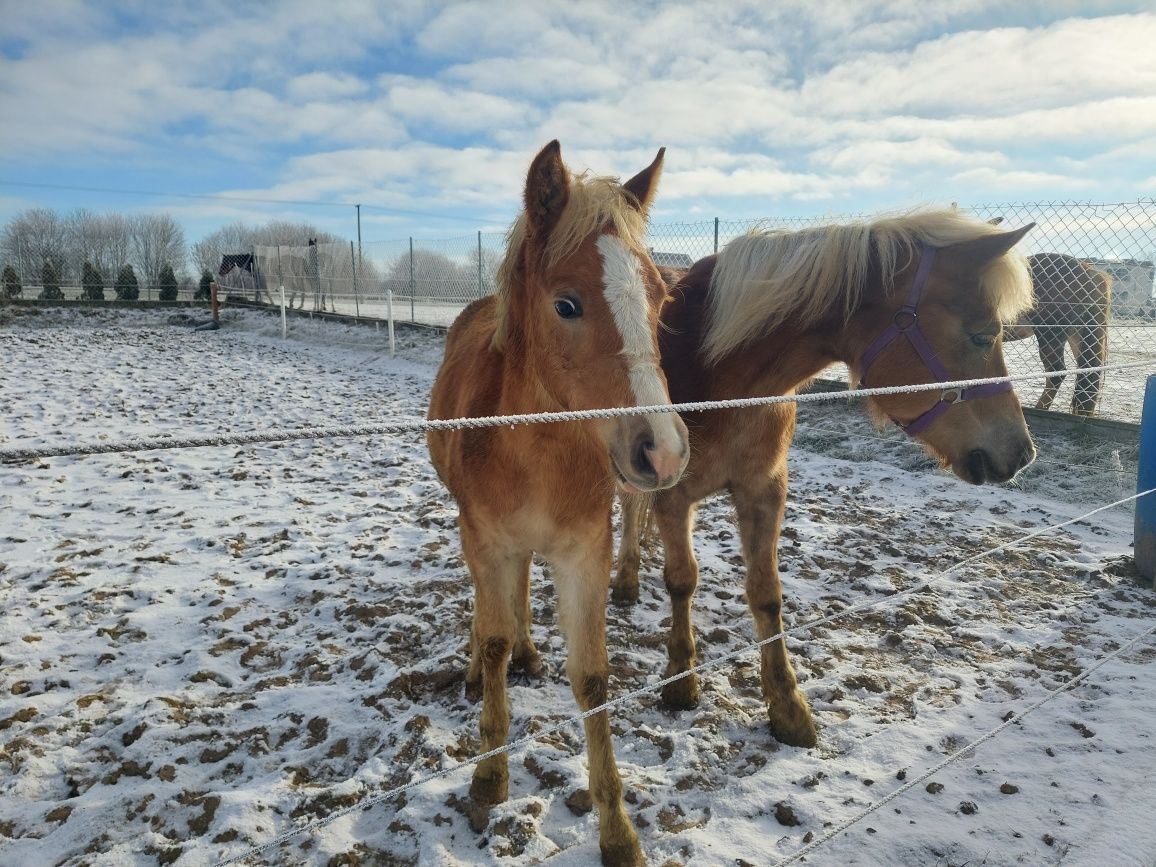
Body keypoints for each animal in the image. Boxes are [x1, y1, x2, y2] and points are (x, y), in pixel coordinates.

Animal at [430, 139, 688, 864]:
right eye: (567, 305)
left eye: (660, 298)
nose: (662, 450)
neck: (536, 448)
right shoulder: (485, 540)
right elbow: (491, 640)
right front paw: (489, 779)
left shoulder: (584, 554)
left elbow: (593, 679)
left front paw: (618, 830)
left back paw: (528, 650)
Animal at [614, 206, 1040, 749]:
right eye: (984, 334)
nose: (1021, 453)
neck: (719, 374)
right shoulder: (674, 496)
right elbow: (682, 581)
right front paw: (681, 682)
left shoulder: (765, 490)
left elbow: (766, 594)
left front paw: (788, 709)